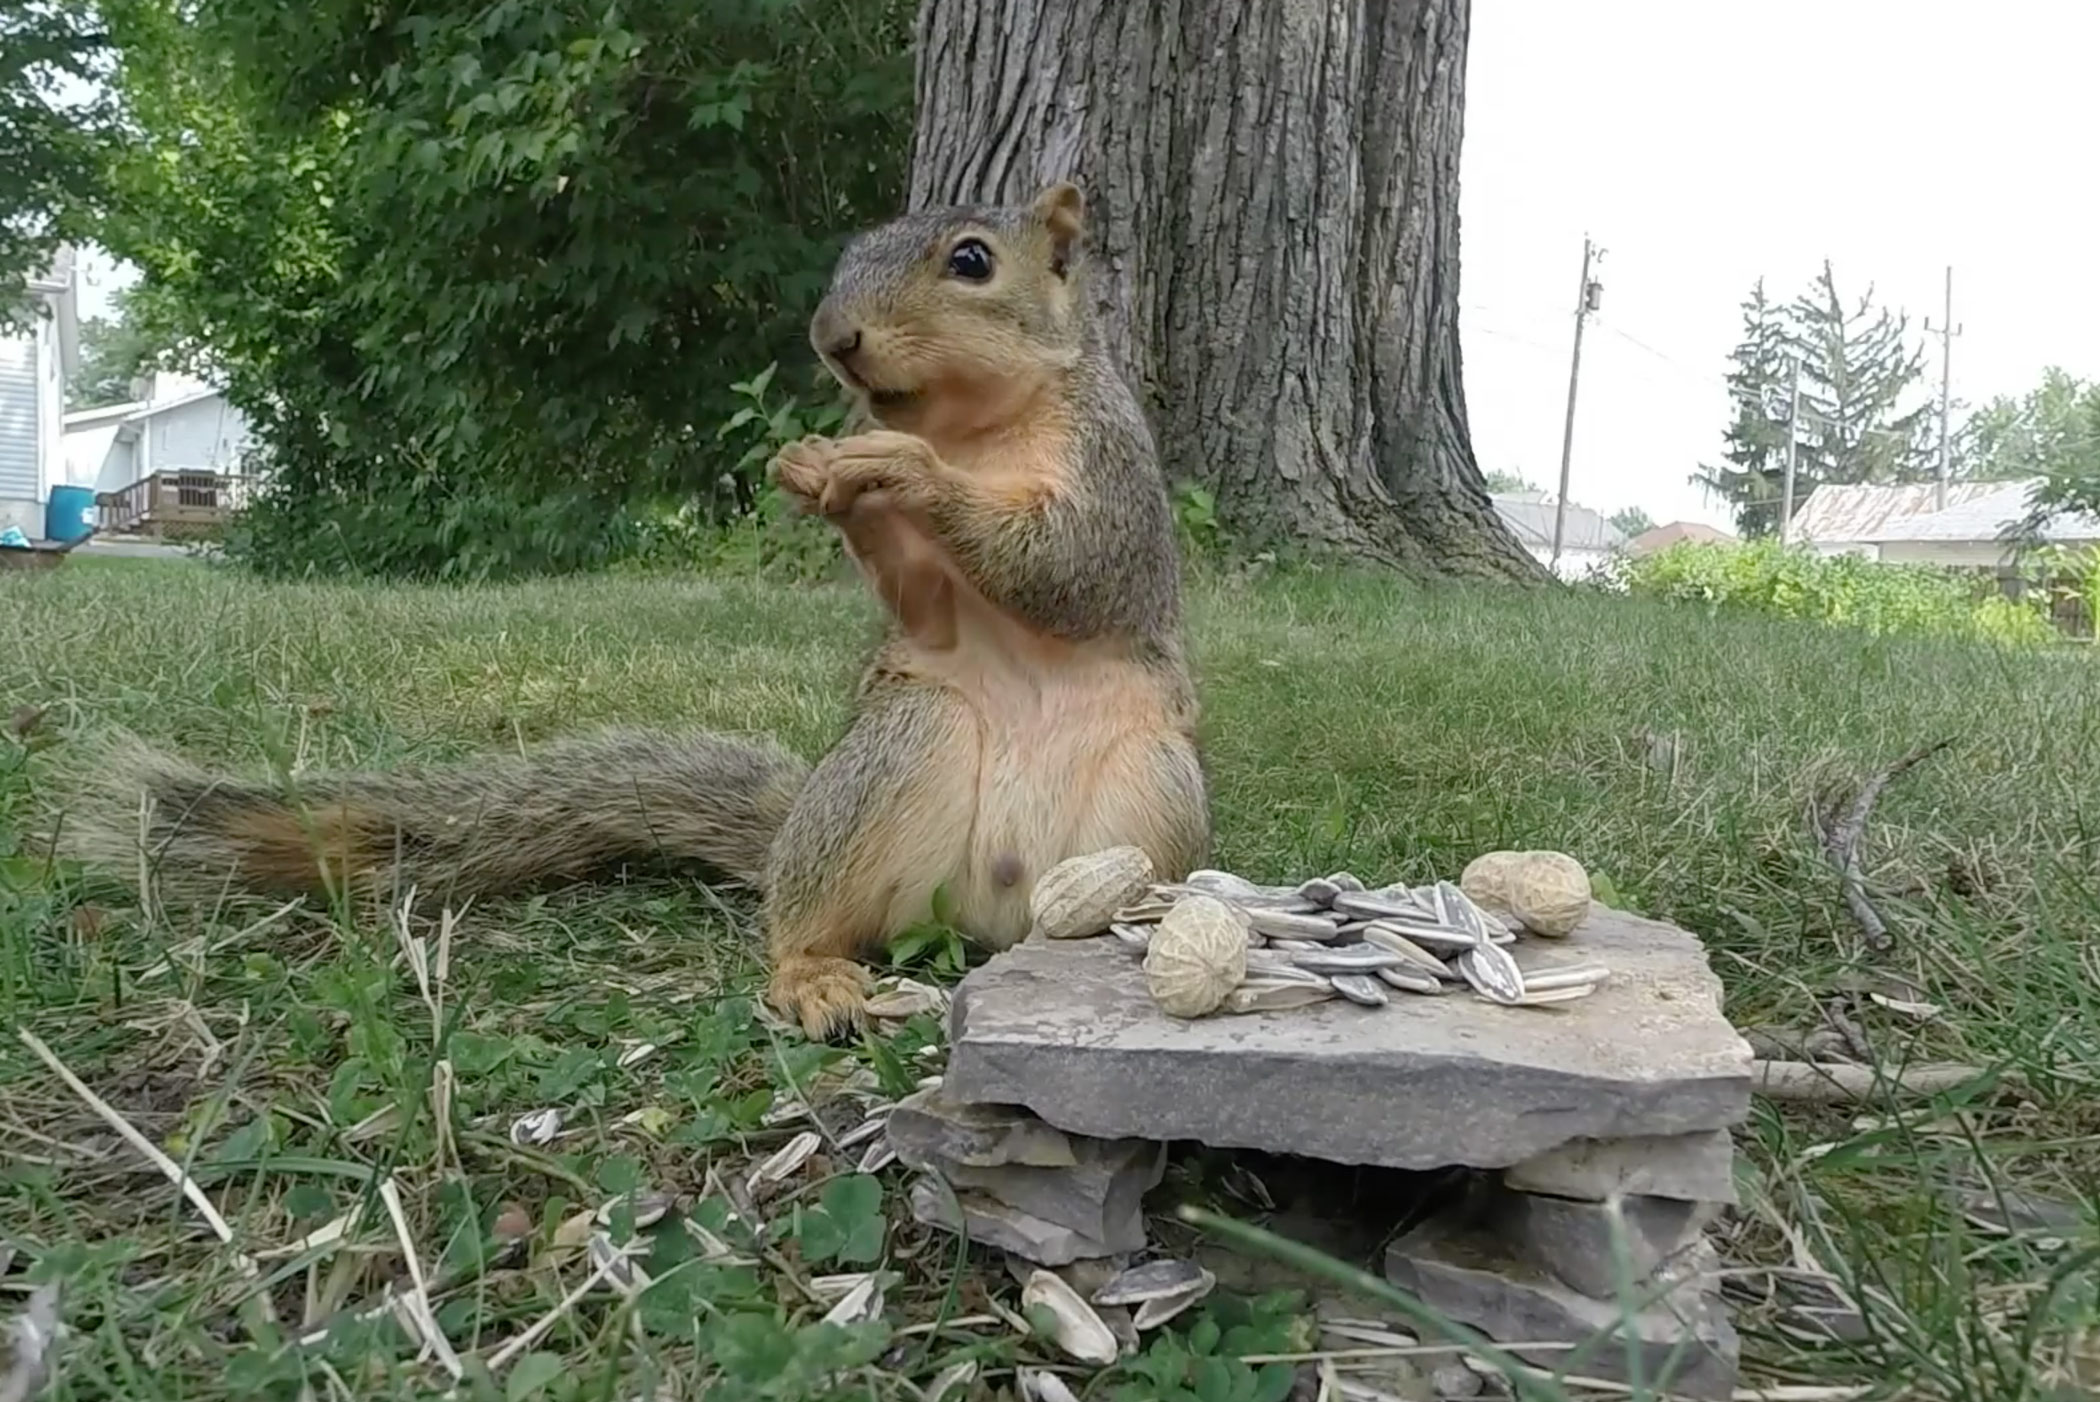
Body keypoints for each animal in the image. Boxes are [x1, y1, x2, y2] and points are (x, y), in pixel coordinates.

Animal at [57, 181, 1212, 1039]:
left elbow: (1072, 567)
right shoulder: (925, 614)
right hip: (905, 748)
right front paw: (823, 473)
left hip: (1152, 796)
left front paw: (901, 468)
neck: (978, 428)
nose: (833, 338)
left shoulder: (1117, 479)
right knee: (806, 922)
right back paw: (812, 974)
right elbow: (923, 606)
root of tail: (996, 915)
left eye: (972, 262)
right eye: (847, 256)